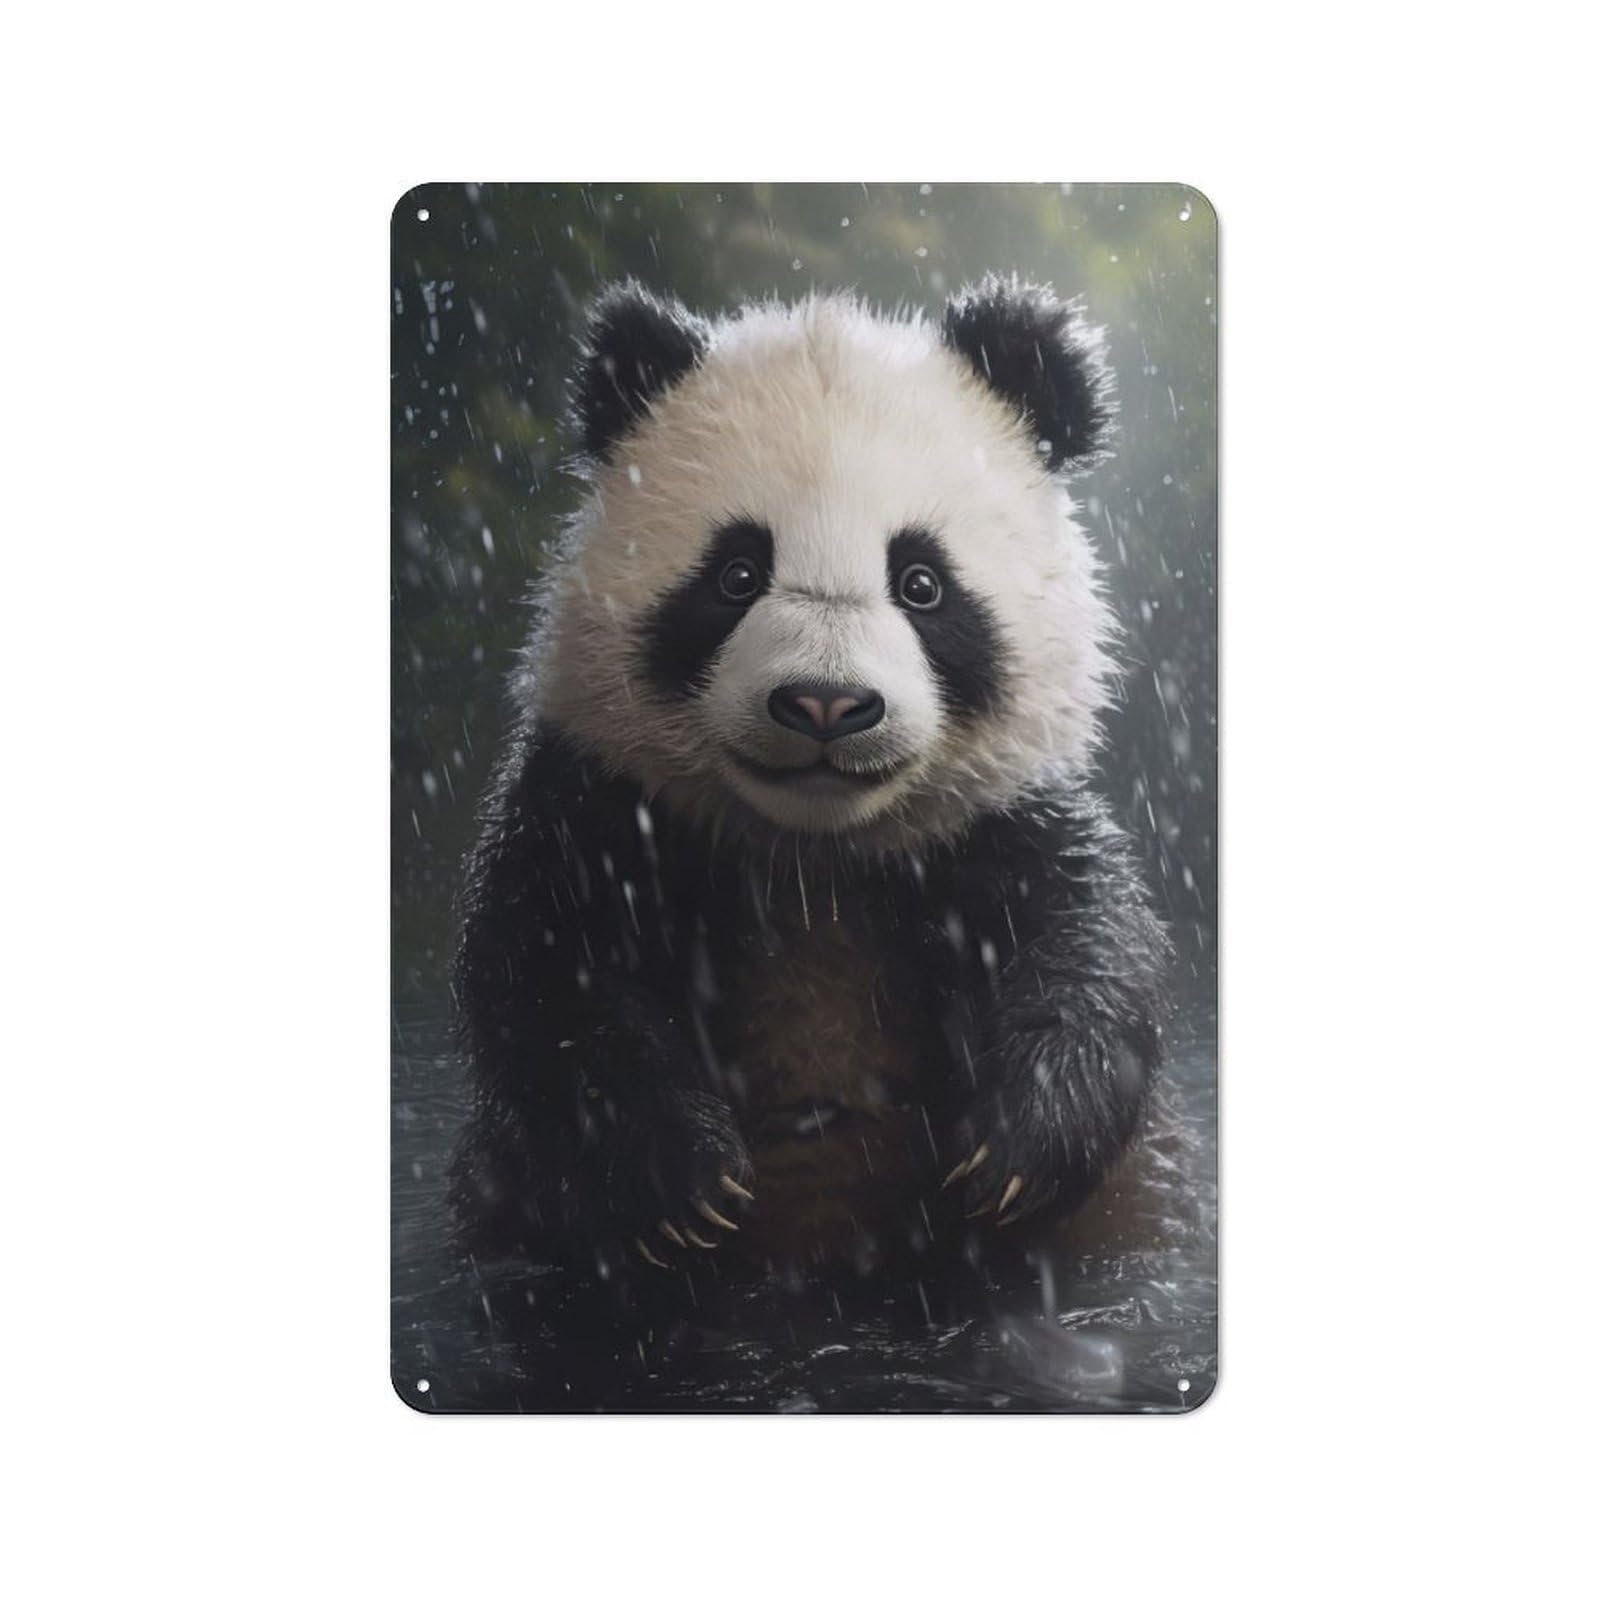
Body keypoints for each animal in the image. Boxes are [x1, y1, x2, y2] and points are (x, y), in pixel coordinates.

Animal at [450, 276, 1168, 1278]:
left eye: (921, 583)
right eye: (736, 574)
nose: (826, 704)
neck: (814, 857)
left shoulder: (1002, 819)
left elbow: (1090, 948)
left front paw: (1013, 1149)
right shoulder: (603, 807)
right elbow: (550, 976)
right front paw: (686, 1179)